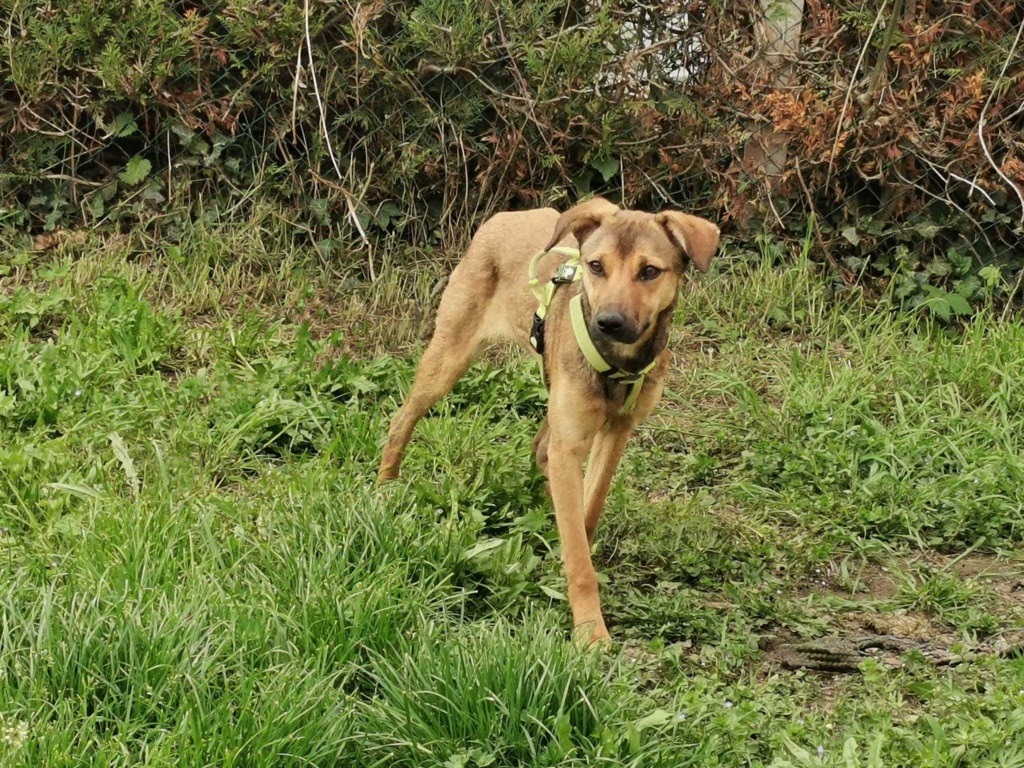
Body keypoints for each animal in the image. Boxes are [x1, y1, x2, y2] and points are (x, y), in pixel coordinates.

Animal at [376, 196, 720, 643]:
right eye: (596, 266)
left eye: (649, 271)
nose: (607, 323)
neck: (619, 365)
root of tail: (503, 216)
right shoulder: (571, 442)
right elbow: (578, 551)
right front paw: (590, 631)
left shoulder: (615, 433)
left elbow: (586, 513)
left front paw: (568, 549)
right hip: (448, 359)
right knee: (402, 419)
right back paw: (384, 488)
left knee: (541, 448)